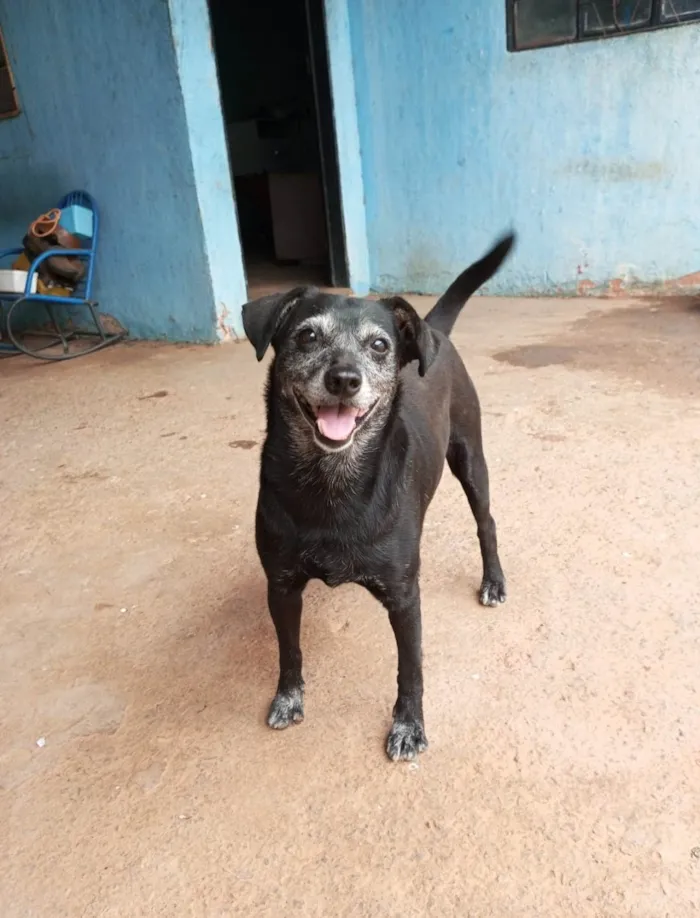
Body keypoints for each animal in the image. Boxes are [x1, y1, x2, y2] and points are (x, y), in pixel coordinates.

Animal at [245, 235, 516, 760]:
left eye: (379, 345)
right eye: (307, 336)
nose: (344, 379)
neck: (332, 482)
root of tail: (432, 331)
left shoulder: (404, 598)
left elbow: (410, 670)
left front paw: (409, 726)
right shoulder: (281, 585)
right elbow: (289, 651)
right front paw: (288, 698)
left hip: (470, 458)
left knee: (487, 522)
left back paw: (493, 580)